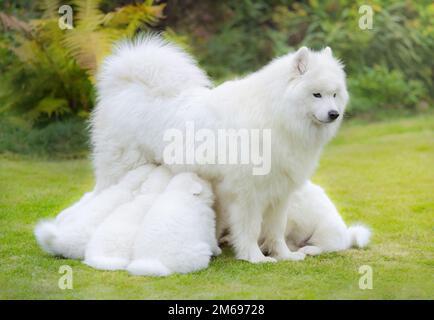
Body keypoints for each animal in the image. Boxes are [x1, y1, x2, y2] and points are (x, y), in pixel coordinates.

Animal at [91, 36, 350, 264]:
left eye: (334, 94)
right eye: (316, 94)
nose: (334, 114)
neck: (274, 114)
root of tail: (126, 89)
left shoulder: (280, 193)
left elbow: (276, 230)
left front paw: (285, 255)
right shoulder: (248, 193)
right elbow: (250, 228)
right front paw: (254, 257)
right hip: (123, 171)